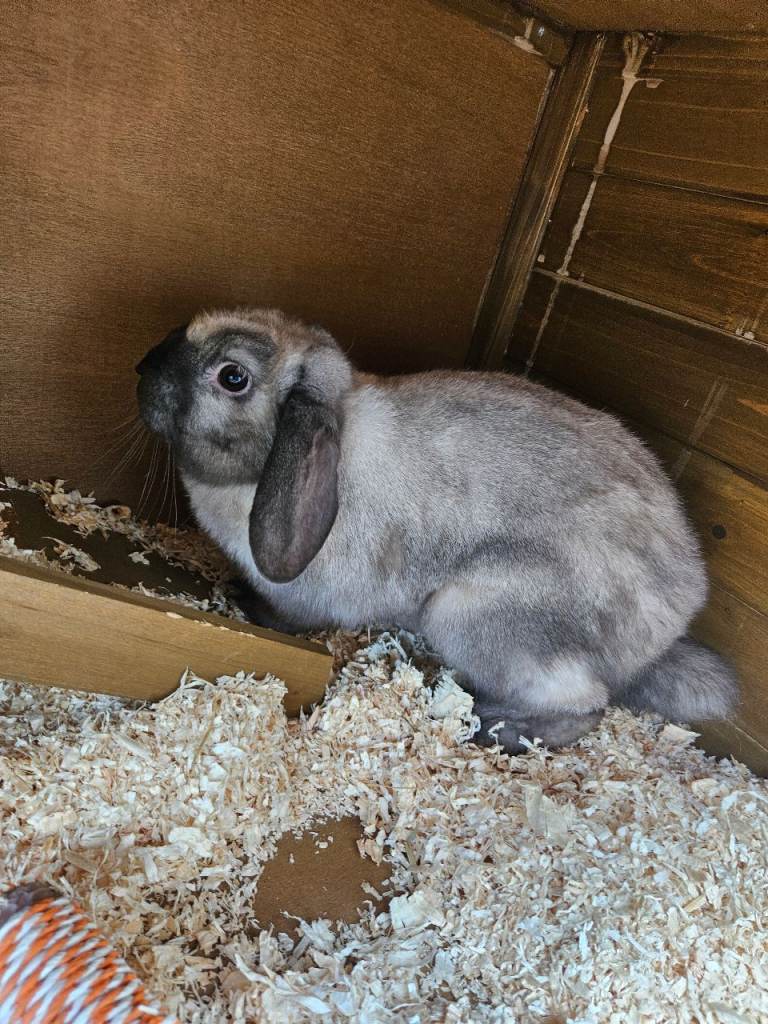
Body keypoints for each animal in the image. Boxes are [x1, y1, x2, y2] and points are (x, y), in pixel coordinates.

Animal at [136, 307, 738, 752]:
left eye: (232, 377)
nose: (143, 367)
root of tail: (668, 624)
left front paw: (246, 603)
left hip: (469, 613)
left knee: (584, 705)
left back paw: (496, 727)